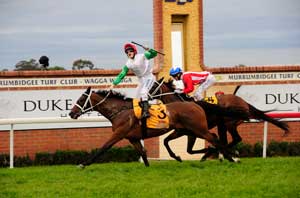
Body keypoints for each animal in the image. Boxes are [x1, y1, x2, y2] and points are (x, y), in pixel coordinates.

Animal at [68, 86, 241, 167]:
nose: (71, 113)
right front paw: (147, 166)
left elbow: (103, 147)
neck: (120, 111)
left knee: (214, 139)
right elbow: (143, 152)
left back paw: (232, 157)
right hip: (187, 129)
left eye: (82, 99)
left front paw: (83, 164)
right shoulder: (133, 138)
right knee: (213, 140)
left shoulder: (119, 134)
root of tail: (196, 104)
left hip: (198, 129)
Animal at [149, 78, 290, 162]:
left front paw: (209, 152)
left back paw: (228, 154)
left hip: (228, 123)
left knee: (234, 139)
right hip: (227, 124)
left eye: (152, 86)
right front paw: (177, 156)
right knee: (233, 139)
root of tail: (244, 102)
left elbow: (193, 148)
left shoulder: (193, 132)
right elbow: (168, 142)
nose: (147, 95)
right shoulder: (182, 132)